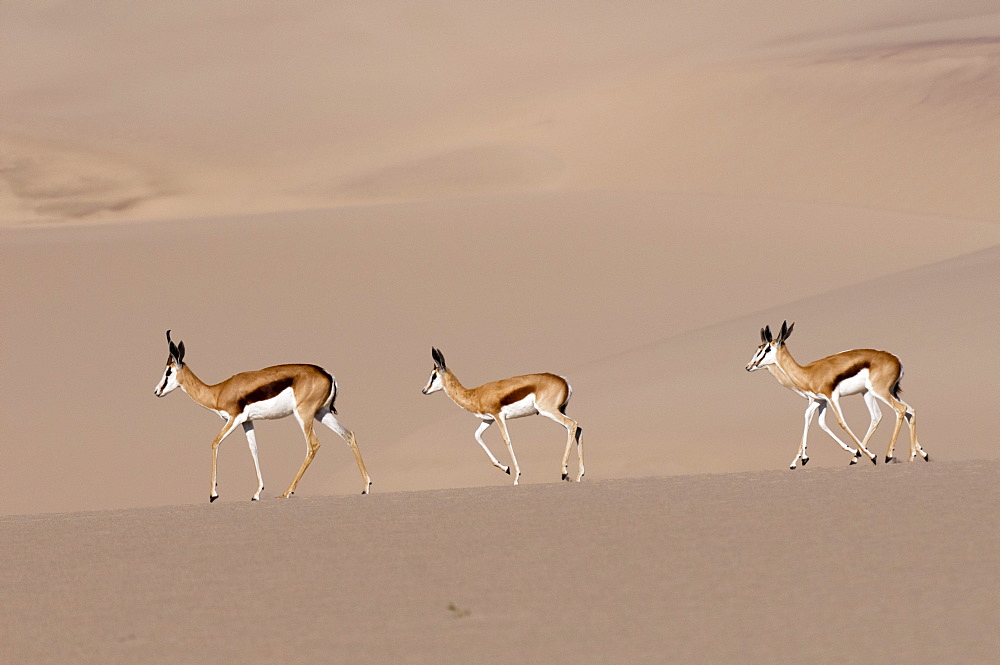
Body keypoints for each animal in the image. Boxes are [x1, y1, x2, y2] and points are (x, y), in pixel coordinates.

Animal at [154, 330, 374, 500]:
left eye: (168, 372)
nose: (156, 391)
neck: (218, 392)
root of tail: (327, 374)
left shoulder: (234, 419)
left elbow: (215, 443)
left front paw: (213, 494)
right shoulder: (247, 422)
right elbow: (254, 450)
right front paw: (257, 493)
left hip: (303, 415)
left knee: (313, 445)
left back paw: (287, 492)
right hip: (322, 413)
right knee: (349, 435)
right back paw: (365, 487)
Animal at [424, 348, 584, 482]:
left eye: (434, 376)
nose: (424, 390)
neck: (476, 394)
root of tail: (564, 381)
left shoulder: (499, 416)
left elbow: (506, 439)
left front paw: (516, 477)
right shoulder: (488, 420)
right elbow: (477, 436)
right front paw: (506, 468)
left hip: (548, 411)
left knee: (572, 425)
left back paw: (564, 473)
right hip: (561, 410)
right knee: (578, 428)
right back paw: (579, 475)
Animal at [748, 320, 924, 466]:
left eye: (767, 349)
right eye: (758, 349)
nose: (749, 366)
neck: (807, 373)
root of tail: (897, 360)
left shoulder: (830, 397)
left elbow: (841, 422)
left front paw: (871, 456)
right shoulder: (819, 400)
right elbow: (812, 420)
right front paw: (800, 460)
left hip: (879, 392)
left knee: (900, 410)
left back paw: (887, 455)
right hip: (879, 392)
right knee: (904, 411)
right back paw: (914, 455)